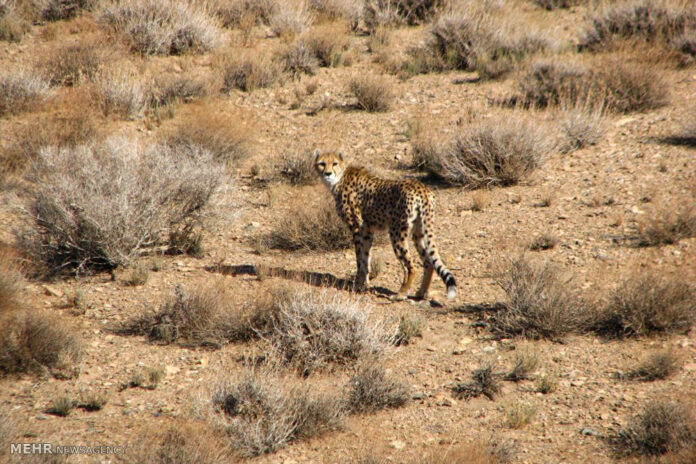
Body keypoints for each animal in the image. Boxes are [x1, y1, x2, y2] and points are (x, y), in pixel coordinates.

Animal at [313, 149, 456, 301]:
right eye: (322, 163)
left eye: (334, 163)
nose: (328, 173)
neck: (339, 178)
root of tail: (421, 188)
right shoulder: (367, 231)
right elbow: (366, 257)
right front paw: (364, 284)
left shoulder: (357, 228)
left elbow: (360, 259)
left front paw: (358, 284)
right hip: (419, 232)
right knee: (428, 262)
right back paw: (422, 292)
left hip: (396, 232)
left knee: (411, 267)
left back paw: (401, 293)